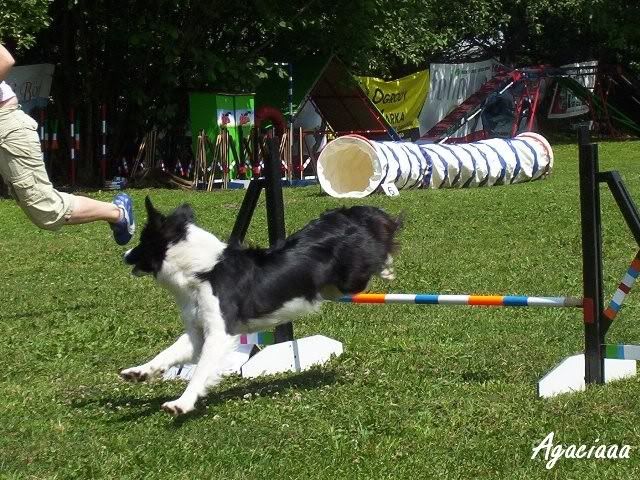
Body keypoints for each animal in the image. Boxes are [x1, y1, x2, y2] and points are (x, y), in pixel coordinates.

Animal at [121, 197, 401, 415]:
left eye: (143, 242)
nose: (124, 255)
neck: (202, 270)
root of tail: (351, 212)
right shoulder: (198, 332)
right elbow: (168, 353)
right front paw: (140, 372)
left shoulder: (220, 333)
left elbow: (201, 371)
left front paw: (181, 403)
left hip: (351, 278)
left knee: (381, 248)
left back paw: (387, 267)